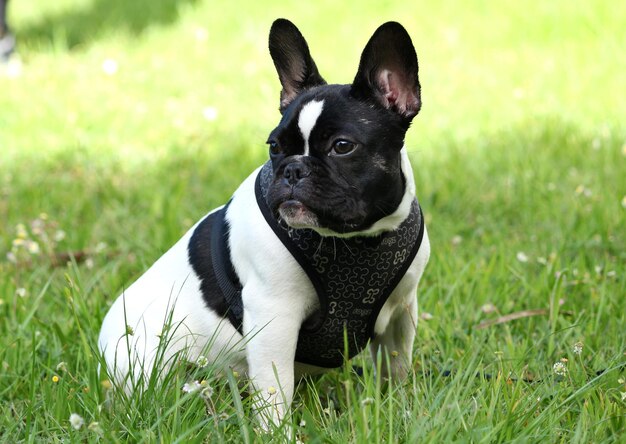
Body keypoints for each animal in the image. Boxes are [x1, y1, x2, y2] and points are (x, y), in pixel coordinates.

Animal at [98, 19, 428, 428]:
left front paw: (399, 410)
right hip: (141, 361)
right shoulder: (274, 317)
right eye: (274, 147)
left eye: (342, 146)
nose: (292, 169)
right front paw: (277, 432)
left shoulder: (402, 312)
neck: (357, 240)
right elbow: (275, 393)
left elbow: (396, 368)